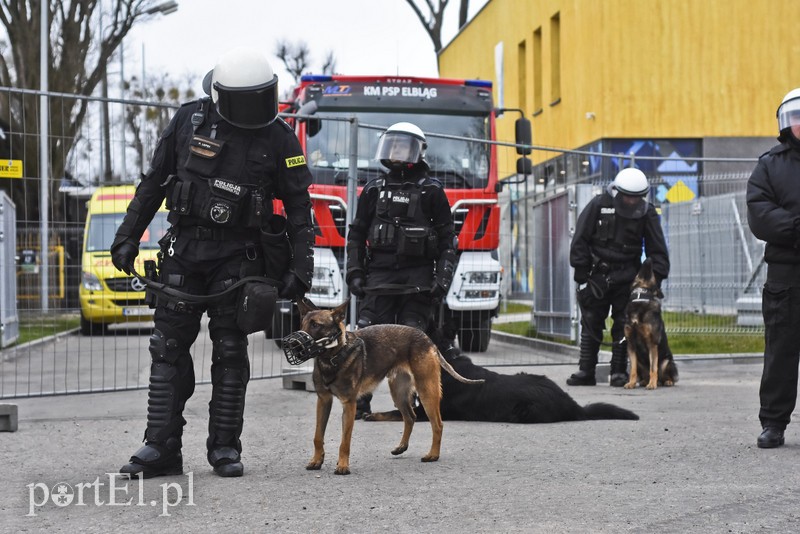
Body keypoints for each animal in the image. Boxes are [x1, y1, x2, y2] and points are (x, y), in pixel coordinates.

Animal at [294, 300, 482, 476]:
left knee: (438, 424)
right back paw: (402, 447)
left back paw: (433, 455)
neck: (333, 357)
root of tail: (428, 339)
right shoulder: (323, 401)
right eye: (302, 323)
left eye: (316, 325)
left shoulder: (349, 404)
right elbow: (318, 436)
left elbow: (344, 441)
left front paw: (343, 466)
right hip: (398, 393)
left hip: (426, 391)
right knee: (410, 417)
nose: (295, 345)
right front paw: (317, 460)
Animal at [620, 258, 680, 390]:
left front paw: (652, 384)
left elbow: (653, 368)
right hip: (640, 362)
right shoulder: (631, 345)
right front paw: (631, 383)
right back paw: (644, 381)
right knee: (644, 374)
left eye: (652, 274)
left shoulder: (652, 344)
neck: (640, 296)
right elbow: (632, 370)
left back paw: (664, 382)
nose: (649, 259)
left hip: (666, 362)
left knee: (666, 376)